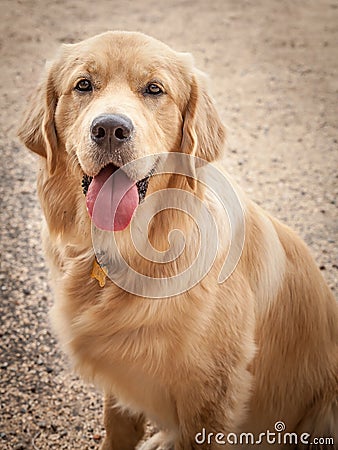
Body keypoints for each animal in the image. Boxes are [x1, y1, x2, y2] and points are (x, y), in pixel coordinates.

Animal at [19, 29, 338, 448]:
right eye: (83, 85)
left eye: (154, 89)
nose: (110, 129)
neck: (131, 246)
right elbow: (117, 427)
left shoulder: (213, 393)